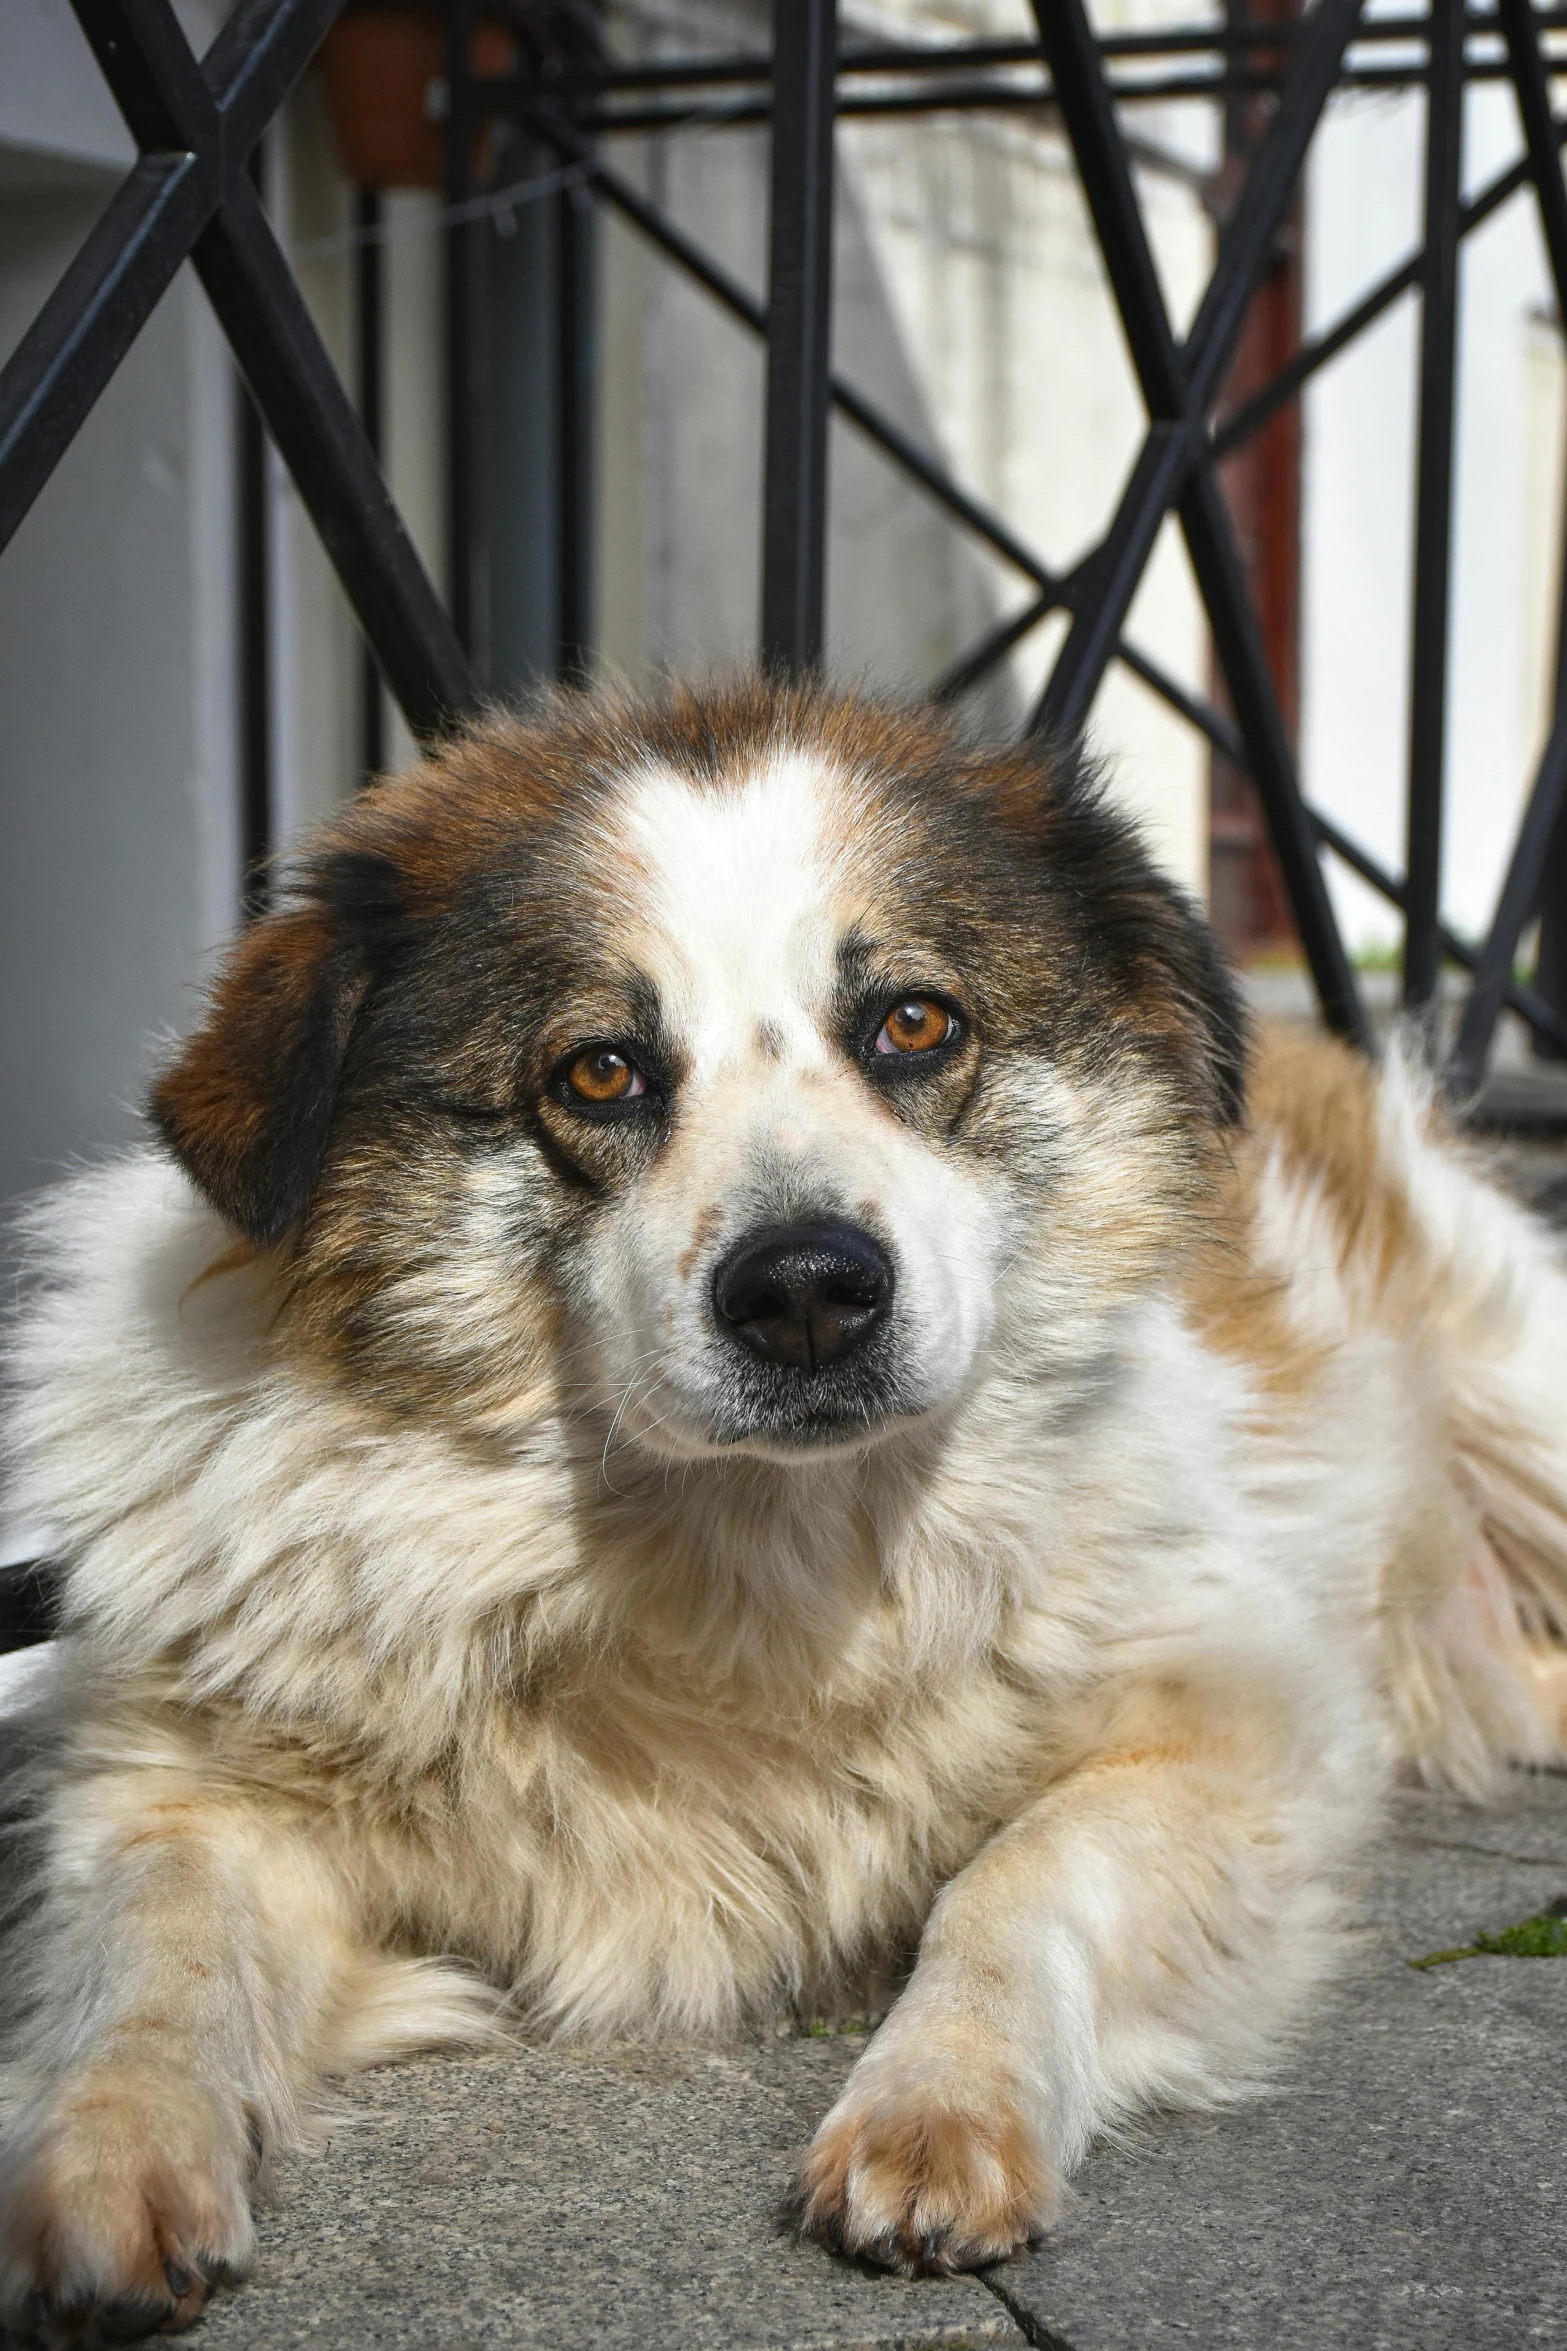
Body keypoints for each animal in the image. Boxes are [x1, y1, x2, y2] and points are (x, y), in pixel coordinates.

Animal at [3, 677, 1567, 2332]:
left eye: (914, 1021)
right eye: (599, 1069)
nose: (808, 1289)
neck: (753, 1550)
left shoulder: (1232, 1723)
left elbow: (1019, 1877)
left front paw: (937, 2101)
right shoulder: (178, 1776)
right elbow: (154, 1952)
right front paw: (100, 2162)